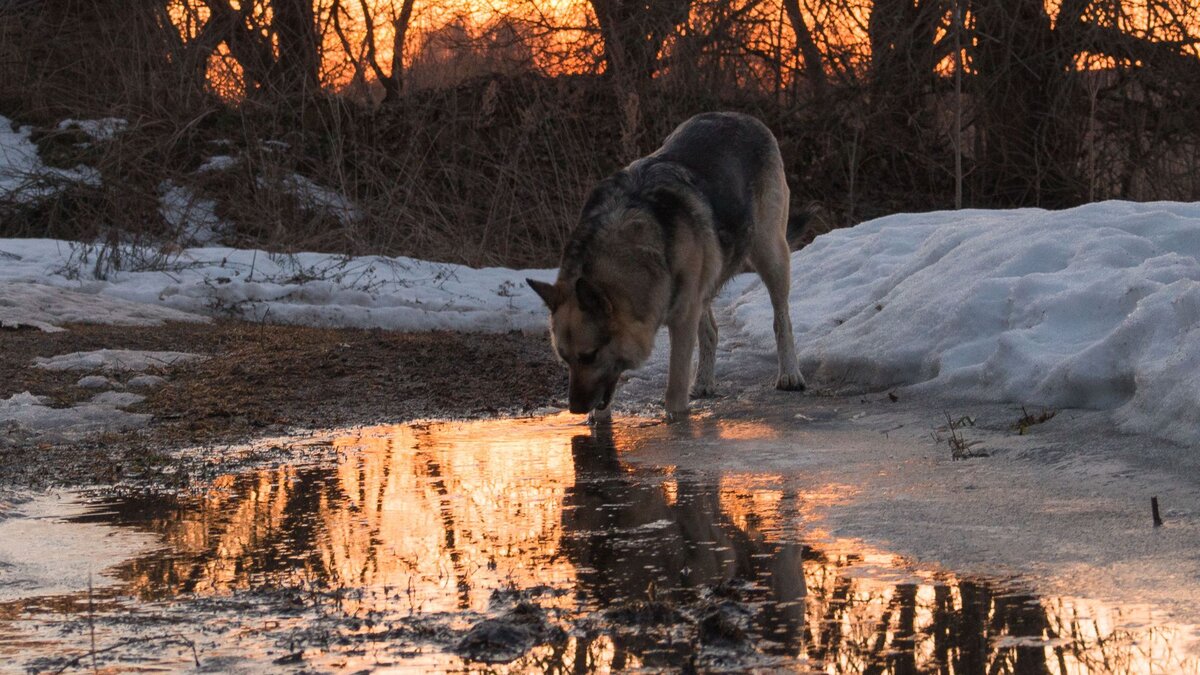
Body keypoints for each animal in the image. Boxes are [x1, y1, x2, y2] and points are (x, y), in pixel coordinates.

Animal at [528, 112, 801, 417]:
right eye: (564, 358)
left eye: (589, 356)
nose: (575, 409)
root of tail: (740, 116)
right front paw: (596, 421)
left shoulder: (682, 319)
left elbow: (675, 387)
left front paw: (676, 418)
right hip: (705, 282)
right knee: (711, 331)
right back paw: (703, 382)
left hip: (770, 255)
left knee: (781, 319)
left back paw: (790, 374)